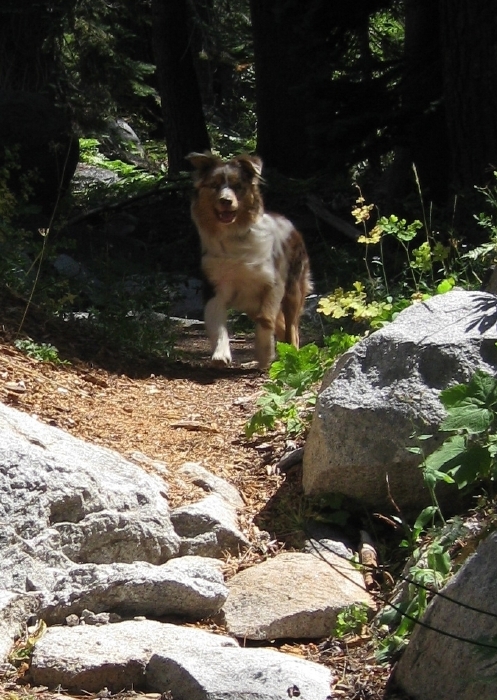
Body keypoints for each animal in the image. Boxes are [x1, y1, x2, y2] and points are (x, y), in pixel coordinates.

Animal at [186, 152, 310, 372]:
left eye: (237, 186)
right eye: (214, 185)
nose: (226, 201)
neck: (234, 237)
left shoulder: (273, 284)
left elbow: (266, 320)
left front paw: (264, 353)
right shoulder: (214, 287)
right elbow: (216, 324)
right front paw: (221, 354)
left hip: (293, 291)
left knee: (292, 328)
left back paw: (291, 354)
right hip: (252, 304)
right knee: (282, 327)